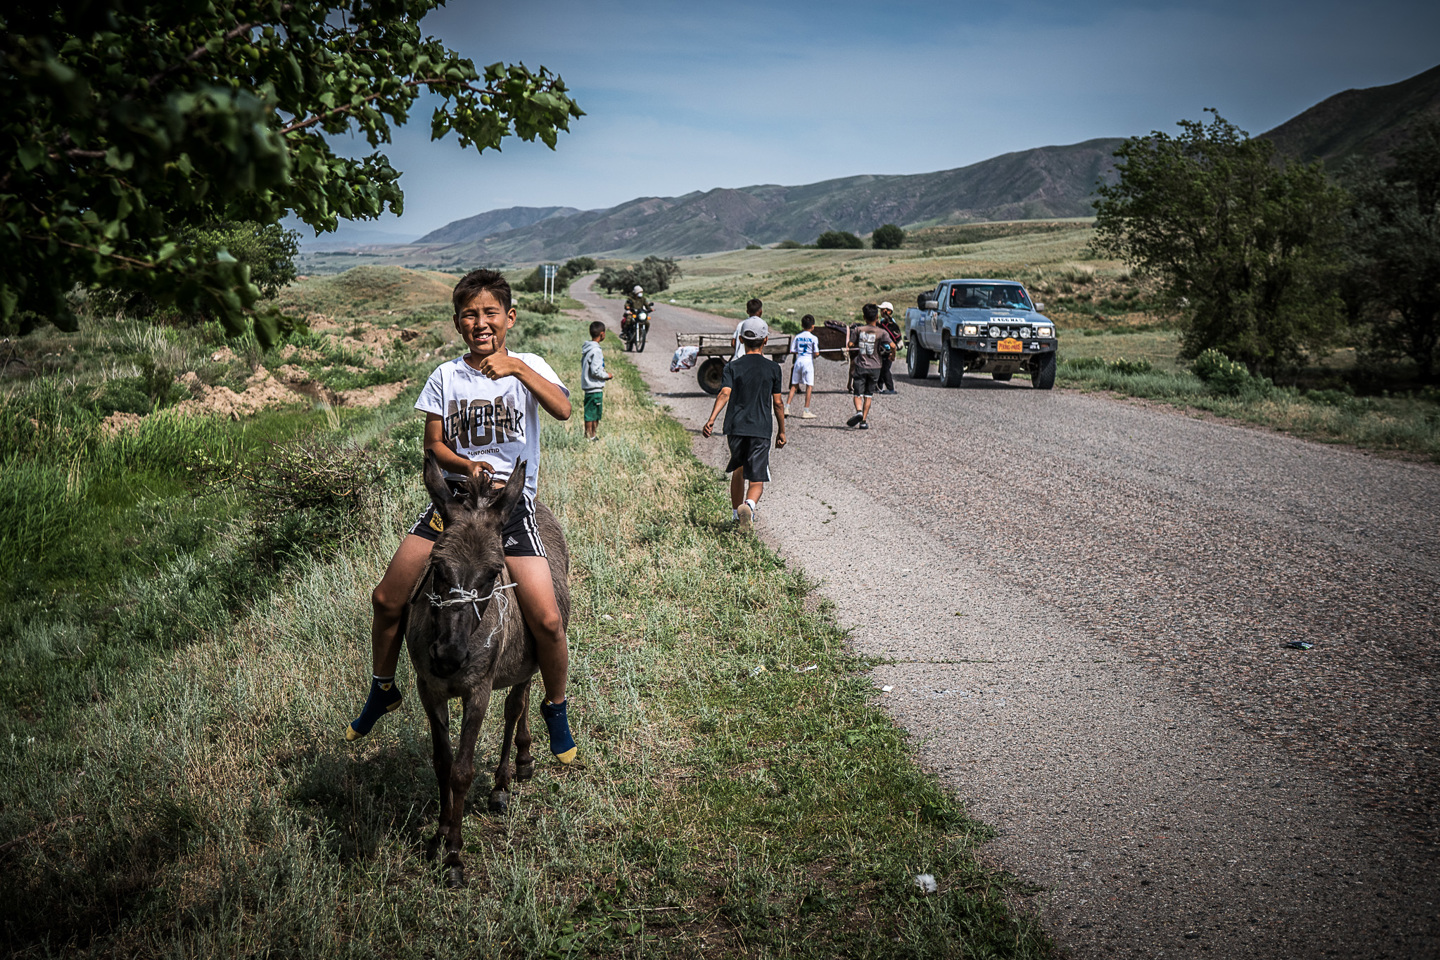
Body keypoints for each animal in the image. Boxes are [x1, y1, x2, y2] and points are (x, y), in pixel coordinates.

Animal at [404, 451, 570, 888]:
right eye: (437, 566)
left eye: (494, 572)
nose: (449, 655)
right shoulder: (429, 688)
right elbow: (442, 763)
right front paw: (441, 832)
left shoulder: (477, 691)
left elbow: (462, 770)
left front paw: (454, 857)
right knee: (519, 703)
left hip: (537, 642)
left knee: (517, 705)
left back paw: (507, 777)